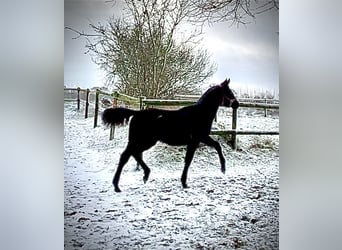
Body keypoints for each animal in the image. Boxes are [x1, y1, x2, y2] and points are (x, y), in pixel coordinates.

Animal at [103, 79, 239, 192]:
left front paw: (222, 169)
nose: (237, 104)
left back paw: (144, 175)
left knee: (133, 154)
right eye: (229, 92)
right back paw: (118, 185)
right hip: (143, 141)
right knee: (126, 156)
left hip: (143, 141)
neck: (199, 114)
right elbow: (190, 160)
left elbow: (216, 146)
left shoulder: (200, 138)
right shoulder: (197, 139)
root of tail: (136, 113)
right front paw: (185, 182)